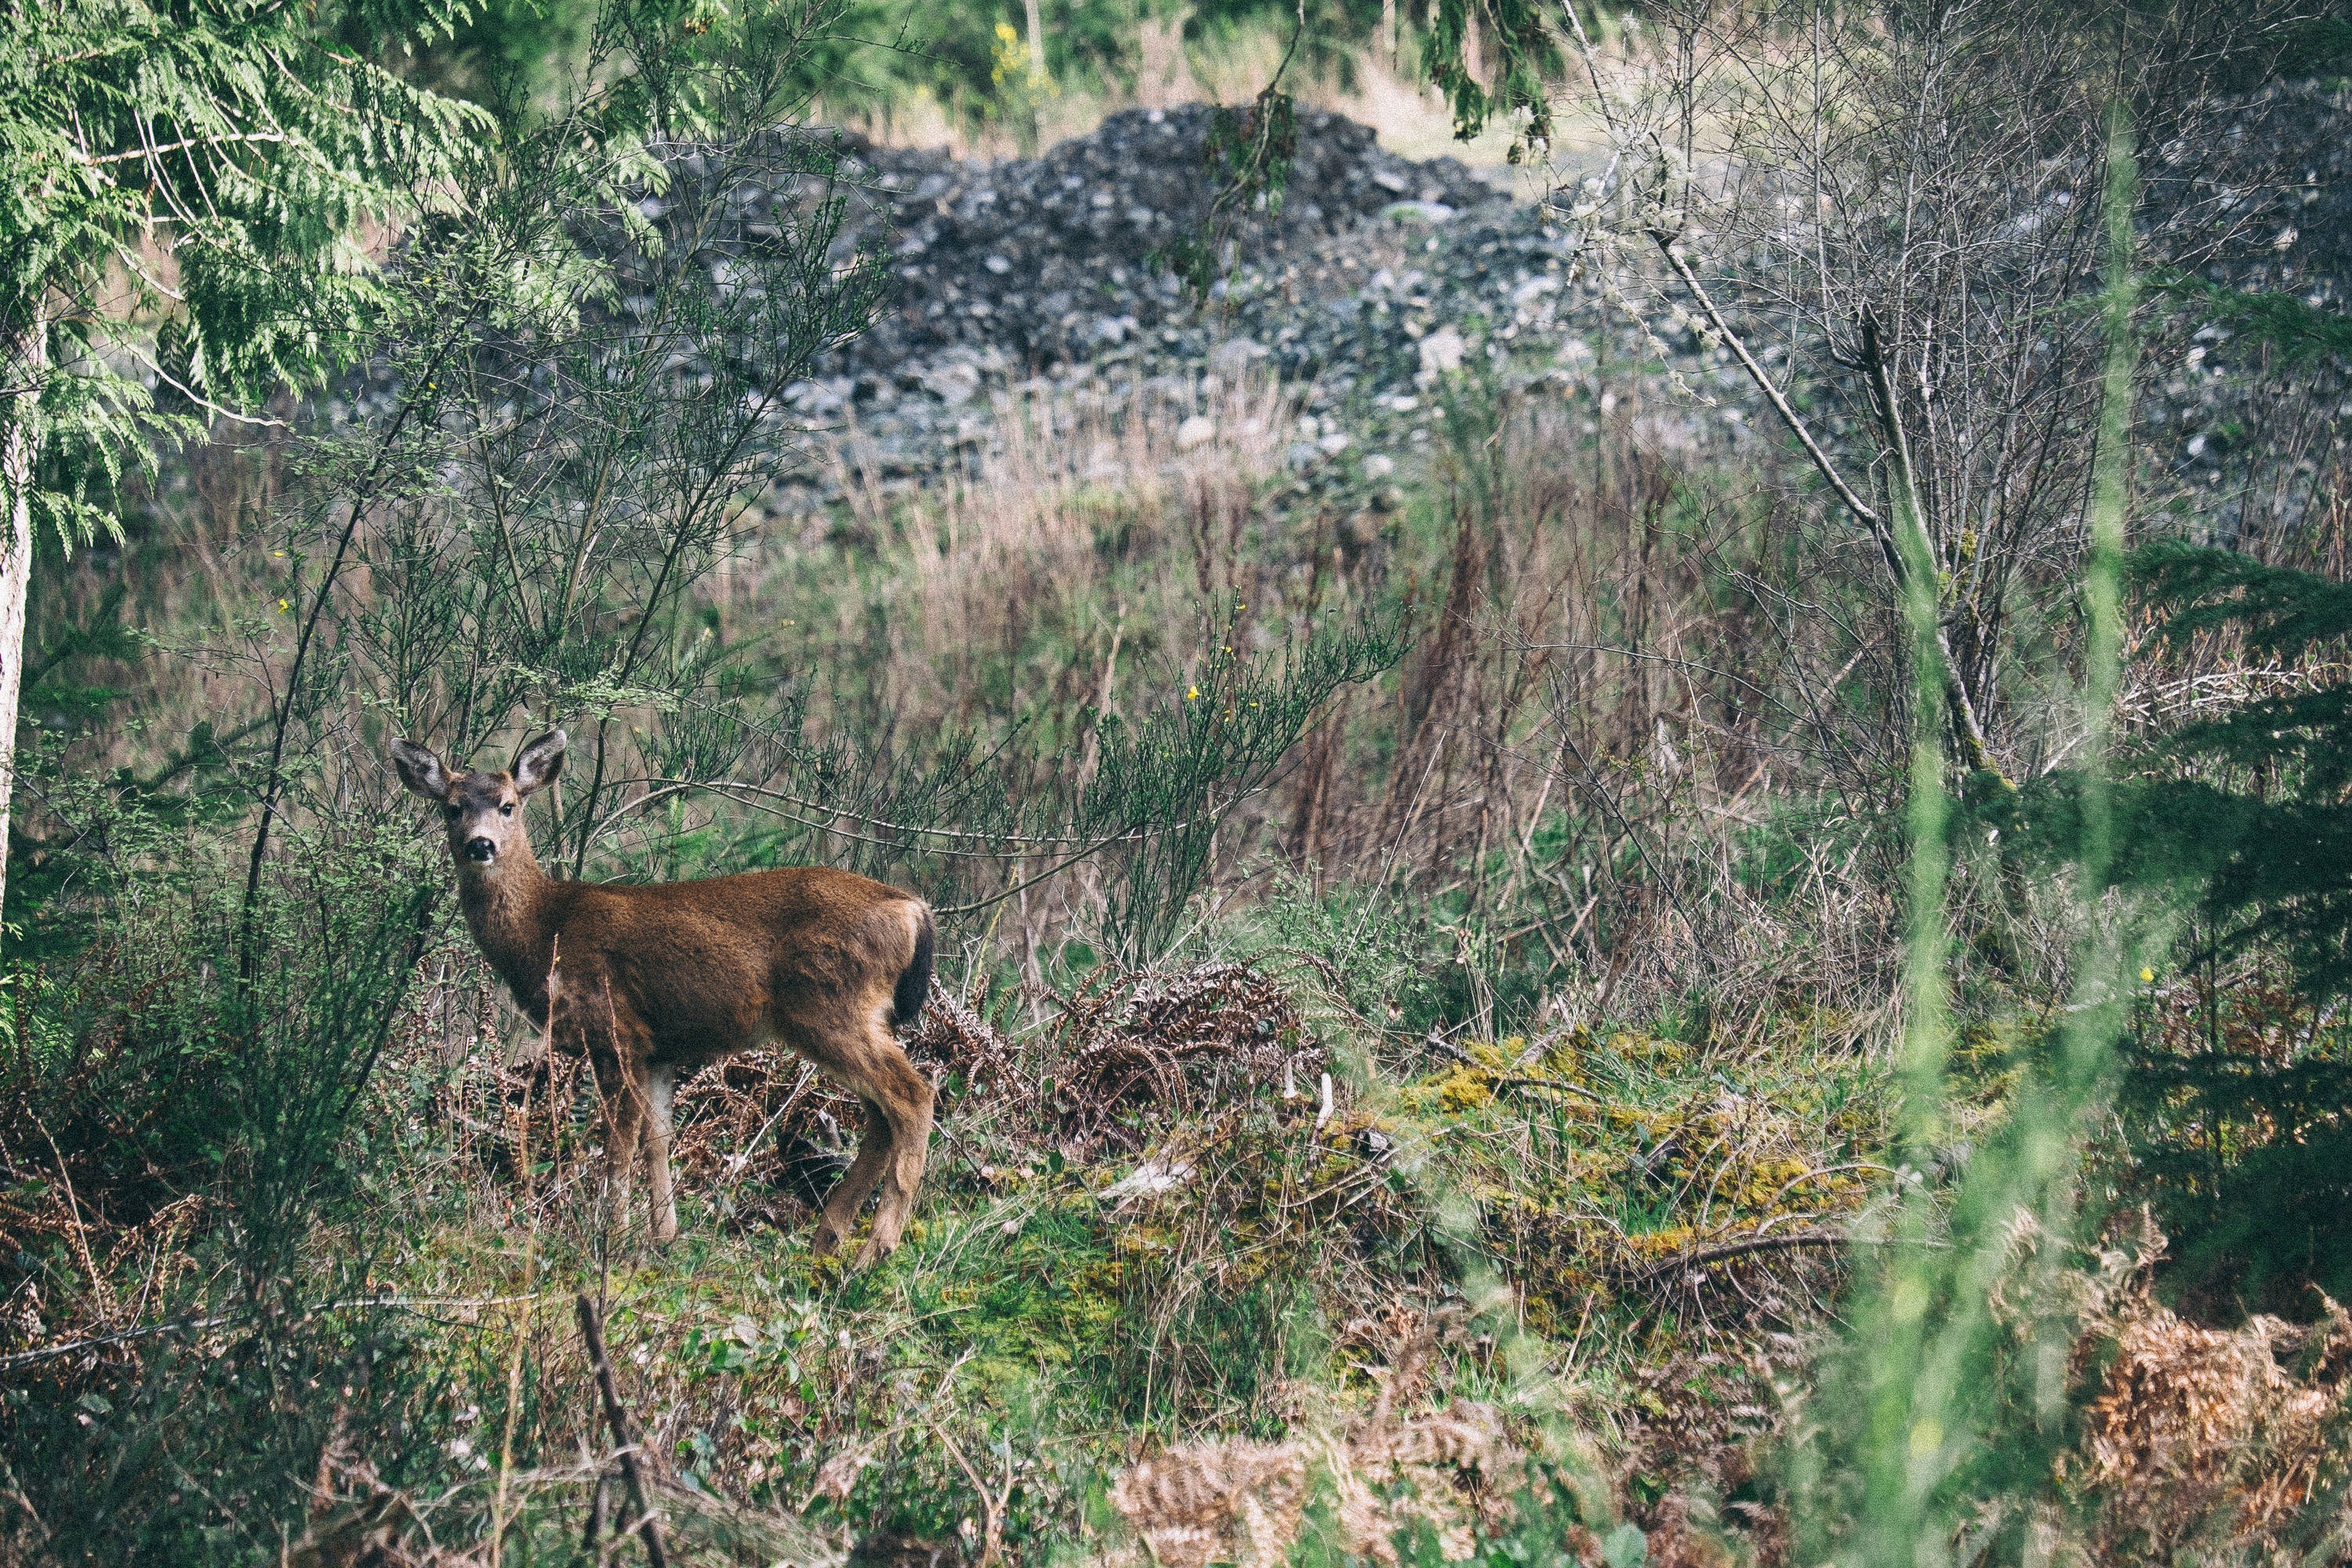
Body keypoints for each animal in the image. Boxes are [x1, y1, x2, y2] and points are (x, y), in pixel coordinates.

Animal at [389, 729, 937, 1269]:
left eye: (507, 805)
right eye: (453, 808)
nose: (480, 845)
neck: (546, 932)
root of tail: (914, 910)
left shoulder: (618, 1030)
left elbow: (619, 1146)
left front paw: (612, 1241)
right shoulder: (656, 1049)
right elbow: (657, 1138)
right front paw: (663, 1238)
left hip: (831, 1009)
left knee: (913, 1096)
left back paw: (874, 1251)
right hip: (851, 1016)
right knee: (880, 1117)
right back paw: (827, 1241)